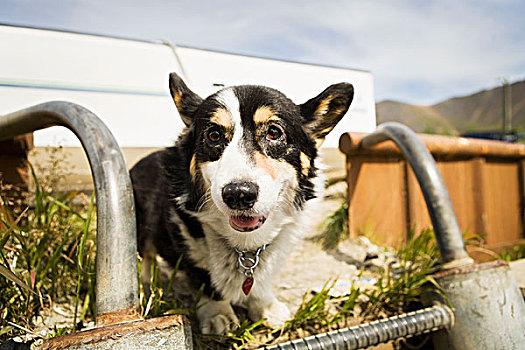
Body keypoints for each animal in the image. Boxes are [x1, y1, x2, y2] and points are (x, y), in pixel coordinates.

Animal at [129, 73, 354, 334]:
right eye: (213, 135)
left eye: (274, 133)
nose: (238, 194)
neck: (245, 246)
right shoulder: (186, 245)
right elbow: (205, 280)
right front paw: (218, 314)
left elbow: (259, 282)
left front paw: (265, 306)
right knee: (146, 254)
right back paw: (147, 282)